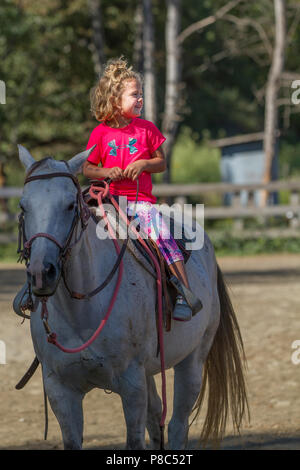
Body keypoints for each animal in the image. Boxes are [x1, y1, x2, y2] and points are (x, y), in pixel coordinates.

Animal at [14, 145, 248, 450]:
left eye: (69, 205)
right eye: (23, 207)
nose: (42, 273)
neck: (82, 311)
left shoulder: (132, 385)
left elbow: (136, 440)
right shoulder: (60, 390)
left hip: (192, 360)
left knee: (177, 425)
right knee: (157, 418)